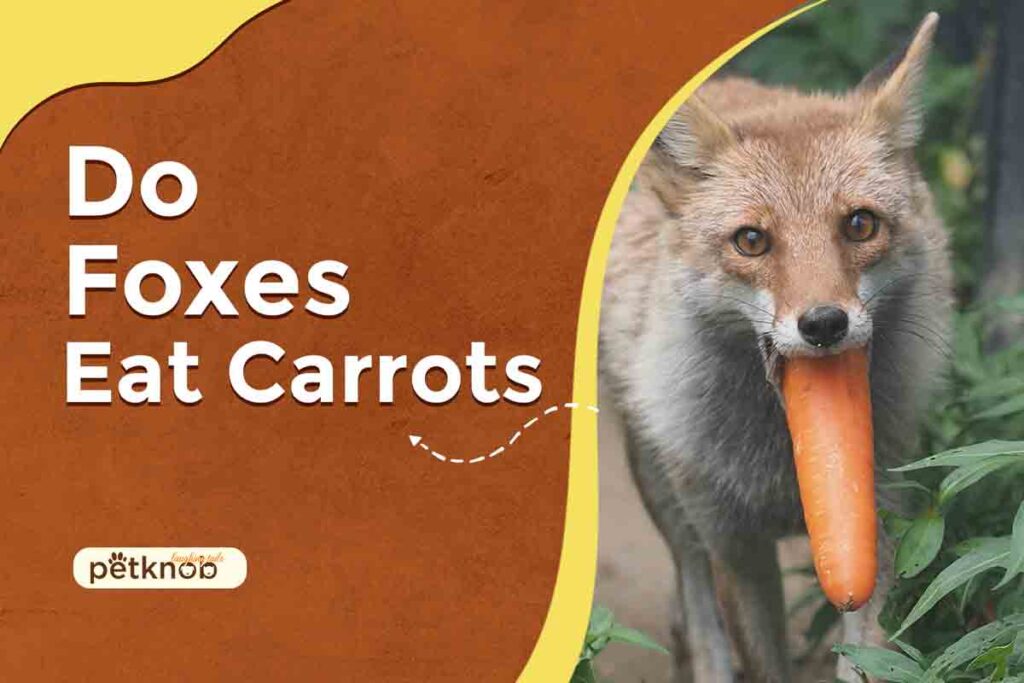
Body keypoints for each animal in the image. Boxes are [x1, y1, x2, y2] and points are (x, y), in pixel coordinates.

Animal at [599, 13, 952, 683]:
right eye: (752, 240)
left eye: (860, 224)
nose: (824, 324)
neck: (782, 466)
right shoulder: (735, 545)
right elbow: (761, 659)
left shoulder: (874, 526)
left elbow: (868, 655)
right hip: (667, 495)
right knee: (696, 614)